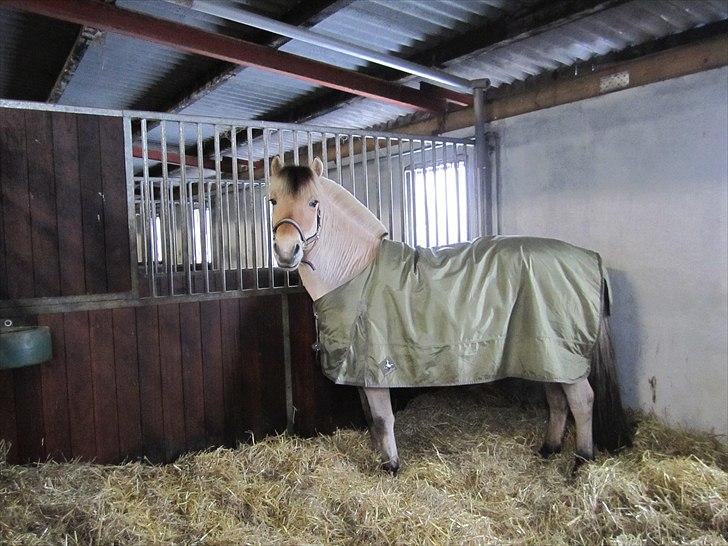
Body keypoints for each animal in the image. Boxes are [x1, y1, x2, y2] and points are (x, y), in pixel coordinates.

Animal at [268, 154, 632, 472]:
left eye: (314, 203)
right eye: (272, 200)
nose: (287, 251)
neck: (355, 271)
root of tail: (590, 256)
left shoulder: (376, 367)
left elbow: (383, 418)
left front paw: (391, 467)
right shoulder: (358, 371)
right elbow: (371, 419)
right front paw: (379, 458)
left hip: (563, 354)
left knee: (582, 401)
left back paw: (581, 462)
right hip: (547, 352)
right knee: (557, 399)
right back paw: (548, 449)